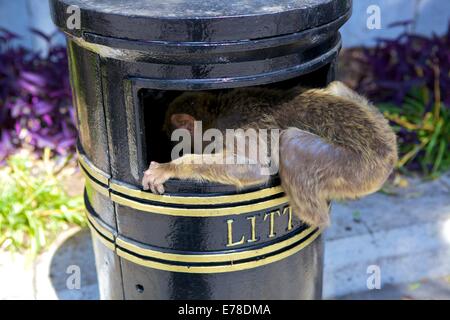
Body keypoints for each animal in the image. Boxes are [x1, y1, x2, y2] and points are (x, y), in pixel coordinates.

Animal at [142, 82, 398, 228]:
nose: (173, 146)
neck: (217, 114)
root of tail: (390, 154)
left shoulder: (234, 132)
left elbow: (255, 169)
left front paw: (170, 167)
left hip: (359, 169)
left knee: (290, 142)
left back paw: (314, 219)